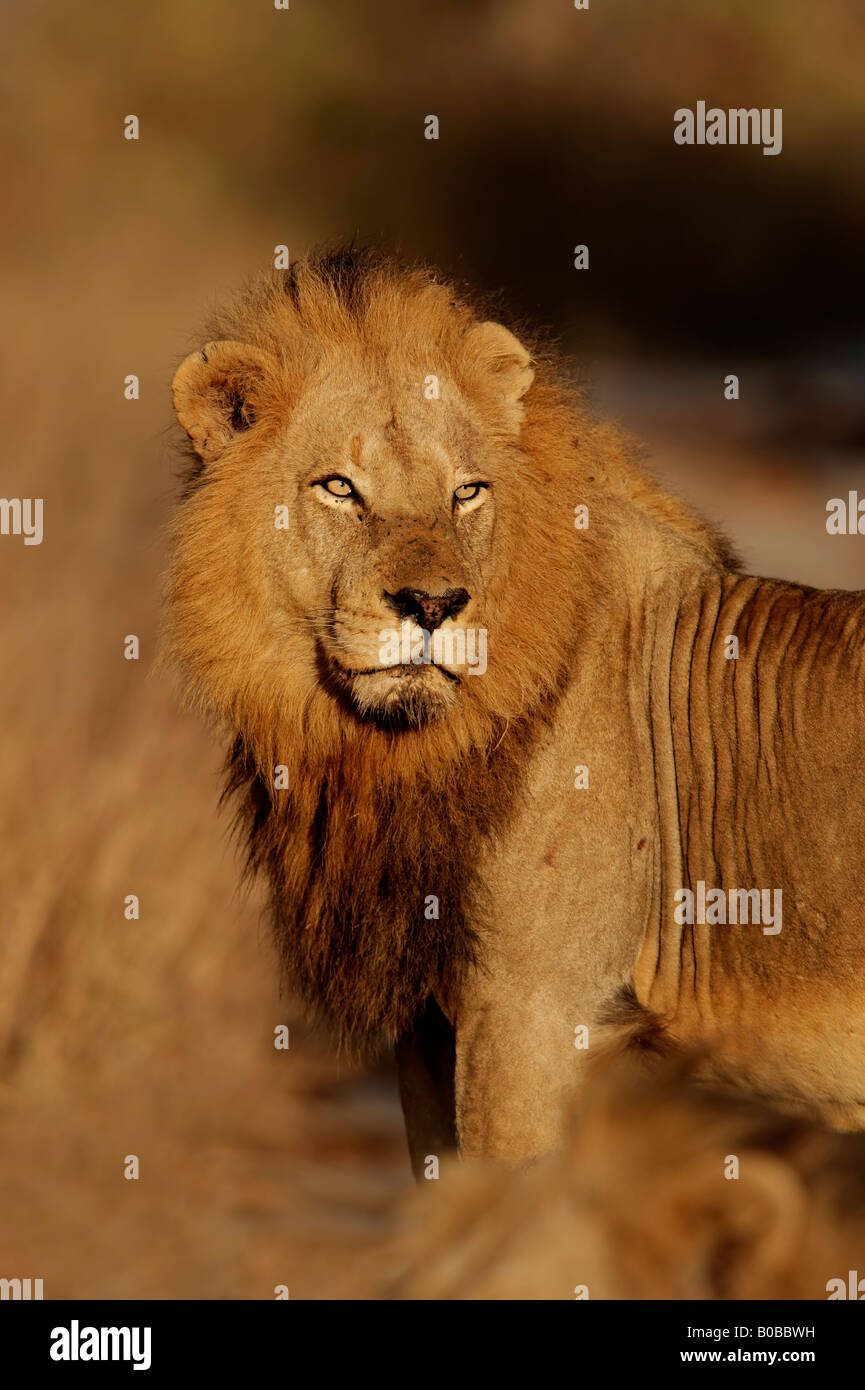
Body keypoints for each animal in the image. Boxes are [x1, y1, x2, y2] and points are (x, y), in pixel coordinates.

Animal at [164, 244, 865, 1167]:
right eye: (339, 487)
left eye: (466, 493)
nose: (432, 605)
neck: (389, 753)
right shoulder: (428, 1027)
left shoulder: (533, 1013)